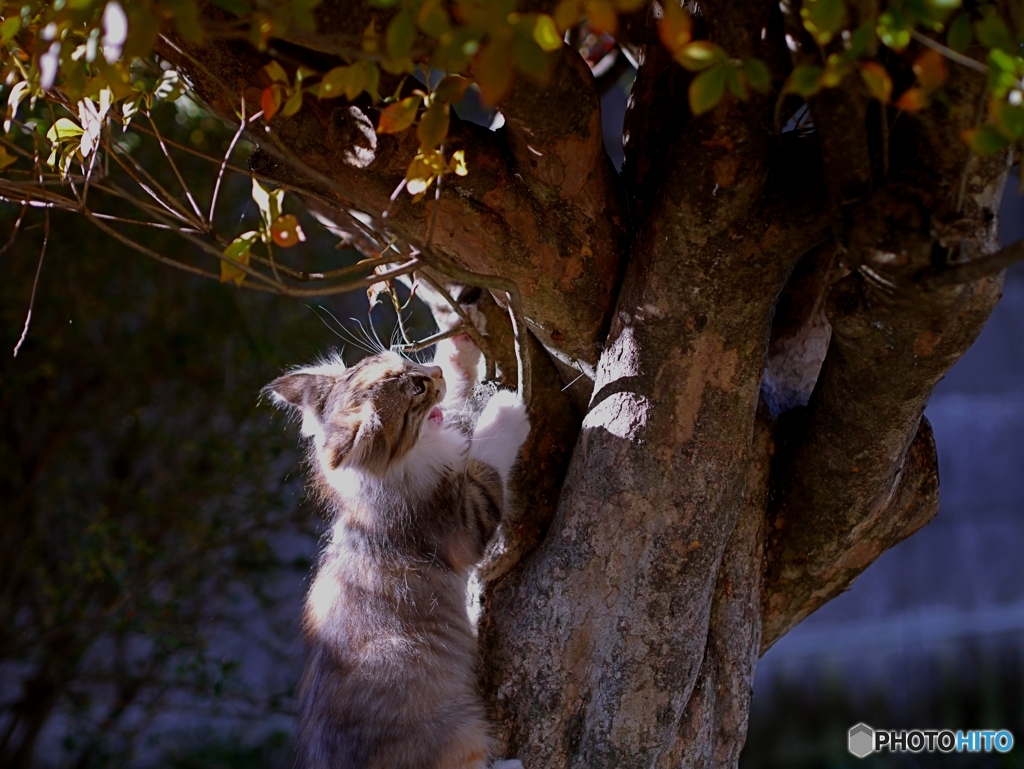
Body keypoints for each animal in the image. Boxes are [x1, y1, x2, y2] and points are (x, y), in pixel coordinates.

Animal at [266, 325, 528, 769]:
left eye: (406, 361)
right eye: (417, 388)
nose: (433, 372)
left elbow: (457, 398)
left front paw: (457, 348)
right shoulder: (461, 520)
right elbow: (488, 455)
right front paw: (507, 407)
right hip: (455, 731)